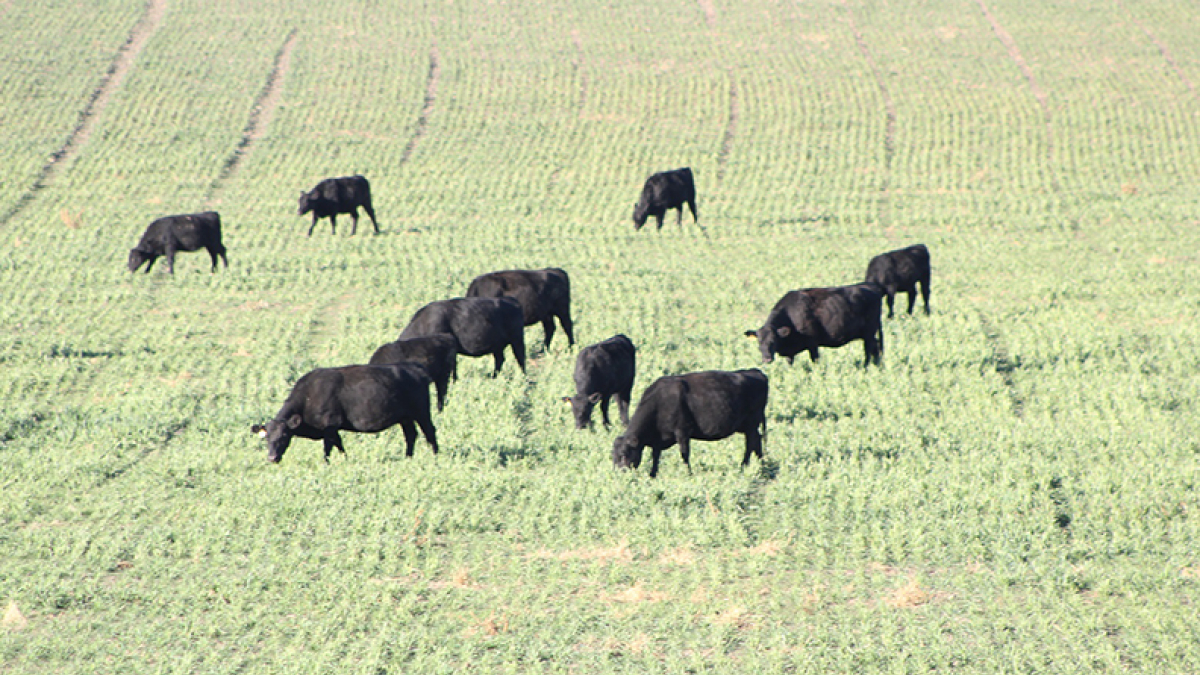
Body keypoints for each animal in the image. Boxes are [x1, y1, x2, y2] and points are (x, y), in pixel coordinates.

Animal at [250, 362, 439, 461]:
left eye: (284, 436)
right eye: (266, 437)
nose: (272, 458)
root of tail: (416, 370)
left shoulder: (330, 424)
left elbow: (328, 448)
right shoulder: (333, 429)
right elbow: (339, 445)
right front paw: (345, 460)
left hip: (422, 412)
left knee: (430, 432)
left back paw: (436, 456)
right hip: (405, 417)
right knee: (411, 435)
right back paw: (408, 457)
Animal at [609, 367, 768, 478]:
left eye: (623, 454)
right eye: (613, 456)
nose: (619, 474)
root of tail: (755, 372)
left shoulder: (682, 431)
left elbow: (684, 454)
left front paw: (688, 473)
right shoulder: (657, 439)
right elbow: (656, 456)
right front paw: (652, 475)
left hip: (751, 422)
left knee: (751, 442)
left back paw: (745, 466)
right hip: (747, 425)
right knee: (757, 441)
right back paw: (762, 464)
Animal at [744, 283, 888, 367]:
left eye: (773, 341)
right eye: (759, 342)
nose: (766, 359)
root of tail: (871, 288)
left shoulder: (812, 343)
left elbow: (815, 361)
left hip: (869, 333)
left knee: (869, 350)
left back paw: (866, 367)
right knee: (876, 349)